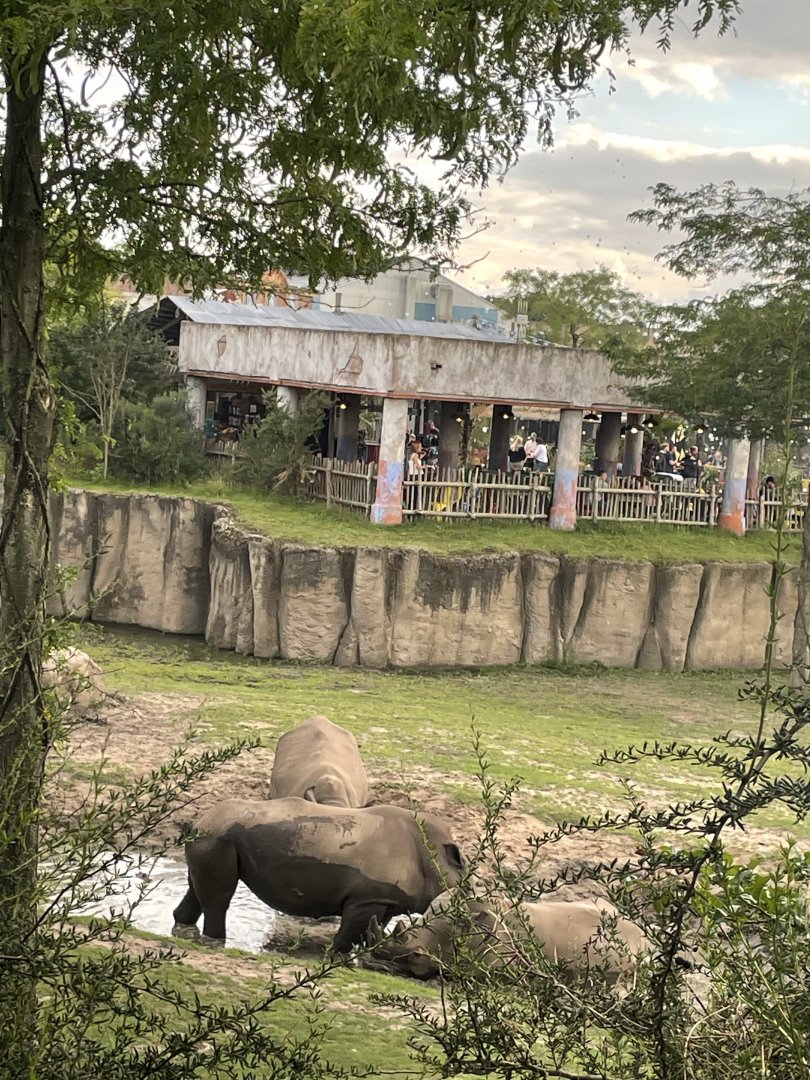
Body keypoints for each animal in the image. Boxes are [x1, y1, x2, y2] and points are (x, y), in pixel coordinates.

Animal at [172, 798, 465, 952]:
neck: (436, 860)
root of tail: (199, 822)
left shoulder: (384, 899)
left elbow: (373, 929)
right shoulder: (367, 897)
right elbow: (349, 934)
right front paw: (336, 956)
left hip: (213, 837)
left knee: (196, 887)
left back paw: (184, 928)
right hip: (218, 837)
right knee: (219, 897)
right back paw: (215, 941)